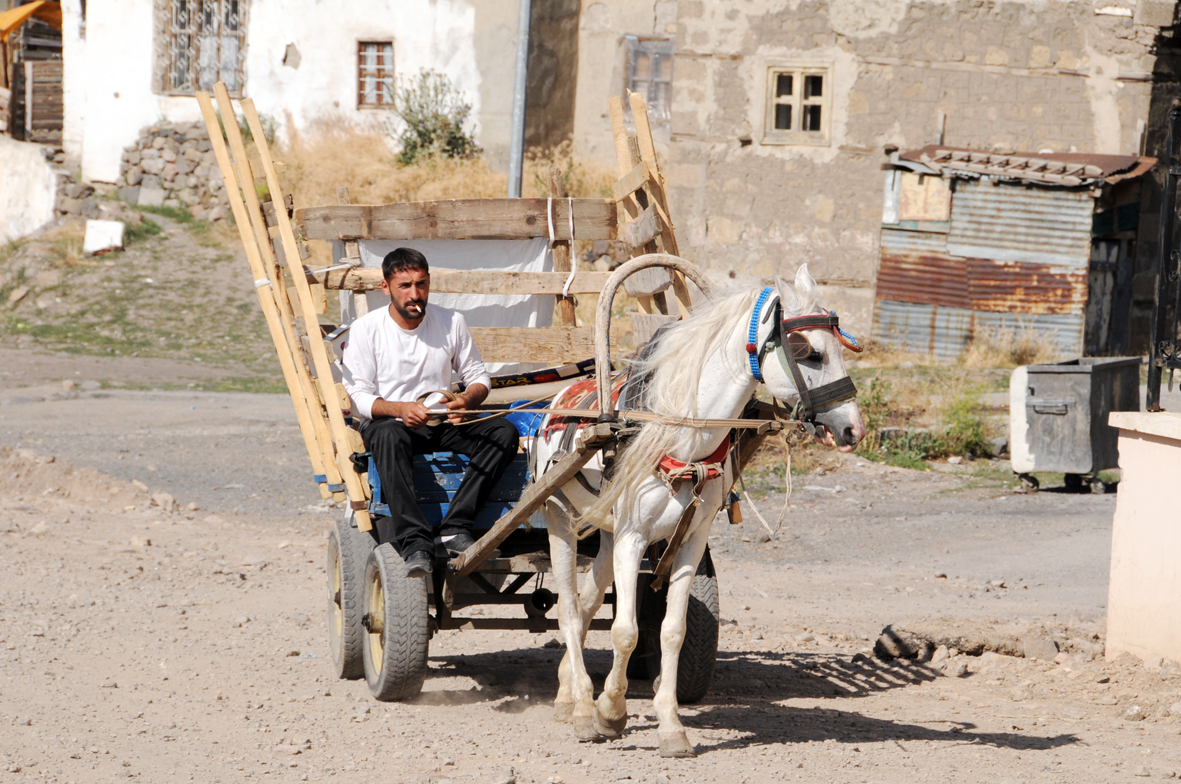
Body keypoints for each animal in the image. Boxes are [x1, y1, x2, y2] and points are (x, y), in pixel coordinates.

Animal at [531, 264, 864, 760]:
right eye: (810, 352)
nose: (853, 429)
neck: (677, 433)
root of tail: (557, 399)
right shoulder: (633, 538)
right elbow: (626, 631)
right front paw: (611, 712)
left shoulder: (688, 541)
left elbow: (672, 630)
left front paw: (670, 725)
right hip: (559, 517)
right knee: (570, 610)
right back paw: (584, 711)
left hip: (608, 537)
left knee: (588, 602)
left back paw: (566, 691)